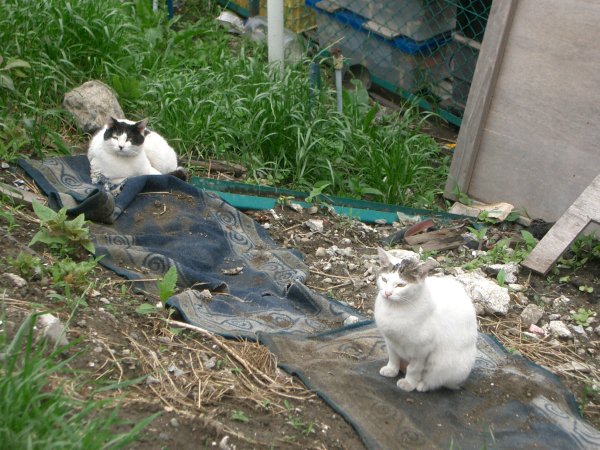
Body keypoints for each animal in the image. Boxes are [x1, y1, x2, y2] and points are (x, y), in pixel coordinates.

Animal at [376, 248, 478, 392]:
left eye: (401, 285)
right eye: (384, 279)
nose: (387, 293)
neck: (394, 309)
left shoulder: (422, 351)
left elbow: (413, 369)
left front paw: (408, 383)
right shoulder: (390, 341)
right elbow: (393, 357)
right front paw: (391, 370)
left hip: (446, 364)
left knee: (436, 380)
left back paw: (422, 385)